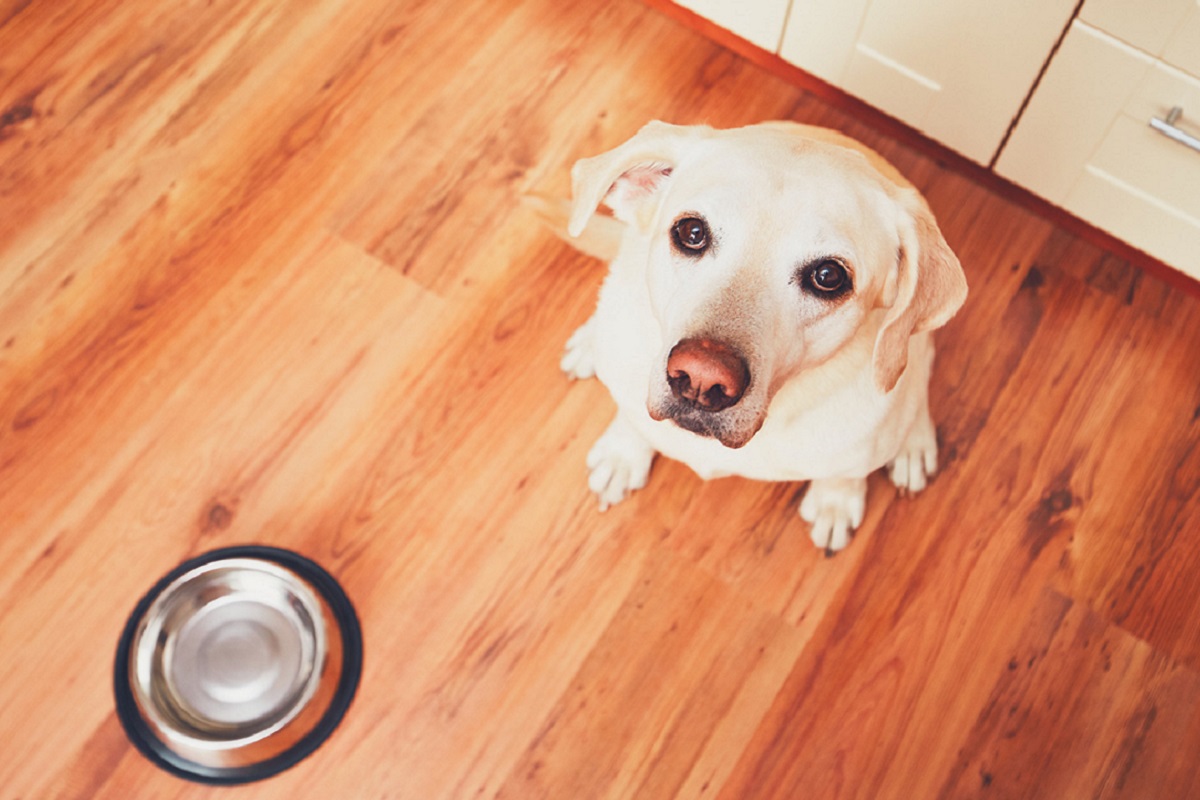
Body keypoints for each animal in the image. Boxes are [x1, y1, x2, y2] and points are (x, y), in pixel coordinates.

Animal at [544, 122, 964, 554]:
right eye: (692, 232)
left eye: (828, 276)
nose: (701, 378)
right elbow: (632, 420)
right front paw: (623, 454)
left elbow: (845, 473)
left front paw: (835, 502)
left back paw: (915, 444)